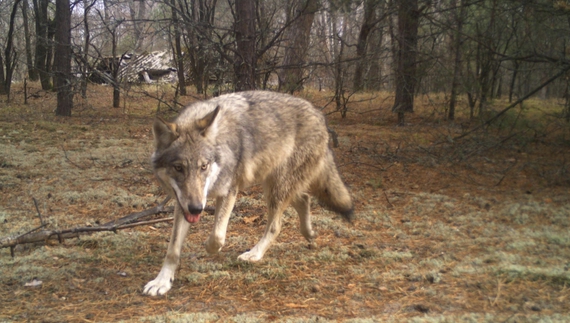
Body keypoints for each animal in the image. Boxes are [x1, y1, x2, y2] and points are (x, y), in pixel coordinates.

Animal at [142, 90, 350, 296]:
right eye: (178, 168)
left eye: (203, 166)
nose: (196, 209)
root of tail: (319, 116)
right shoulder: (183, 203)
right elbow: (173, 249)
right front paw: (162, 281)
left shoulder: (228, 191)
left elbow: (217, 236)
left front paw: (209, 248)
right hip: (274, 183)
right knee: (304, 199)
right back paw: (310, 235)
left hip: (275, 188)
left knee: (276, 225)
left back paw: (255, 254)